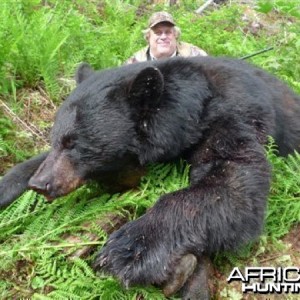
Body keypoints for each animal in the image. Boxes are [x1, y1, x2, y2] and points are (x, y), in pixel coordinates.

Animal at [0, 56, 300, 298]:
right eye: (55, 139)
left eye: (74, 143)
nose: (40, 184)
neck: (196, 102)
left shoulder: (233, 116)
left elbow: (234, 183)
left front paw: (128, 251)